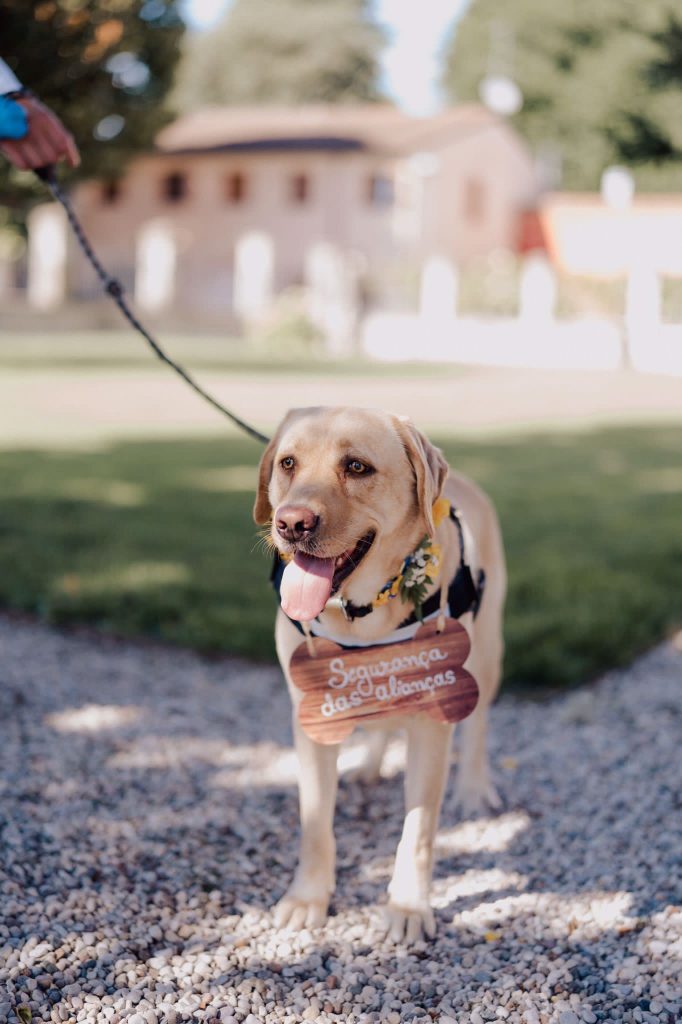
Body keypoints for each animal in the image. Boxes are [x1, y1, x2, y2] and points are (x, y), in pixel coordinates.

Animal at [251, 405, 501, 942]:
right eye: (287, 463)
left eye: (357, 467)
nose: (291, 524)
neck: (360, 613)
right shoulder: (313, 716)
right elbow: (315, 822)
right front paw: (308, 899)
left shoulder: (432, 718)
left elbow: (418, 830)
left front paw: (407, 907)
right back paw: (368, 766)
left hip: (486, 653)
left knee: (478, 726)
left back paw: (473, 787)